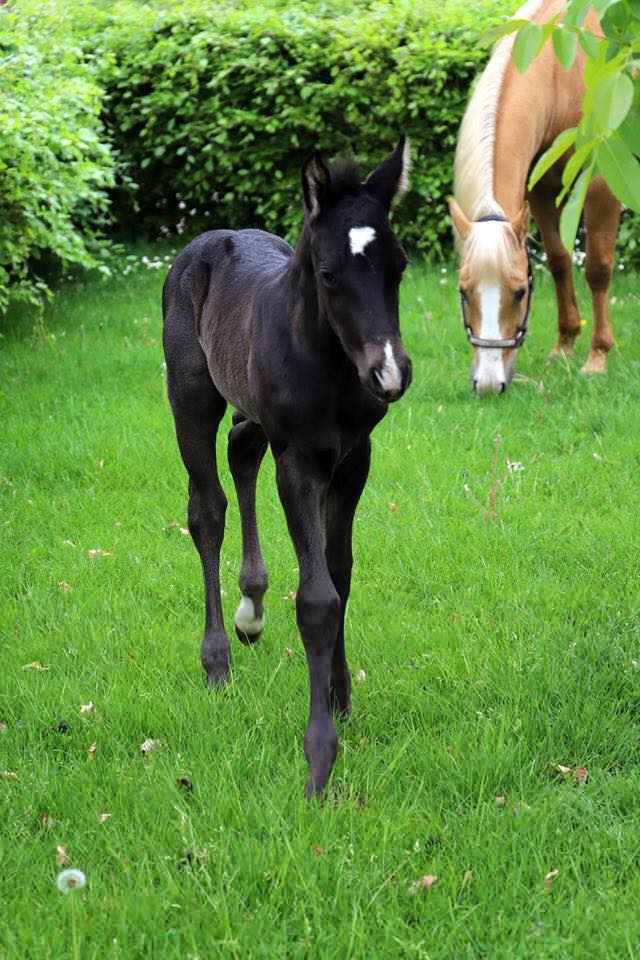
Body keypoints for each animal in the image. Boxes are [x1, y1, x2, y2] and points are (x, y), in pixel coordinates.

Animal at [162, 138, 412, 798]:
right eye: (328, 273)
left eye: (400, 266)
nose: (389, 373)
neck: (329, 365)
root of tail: (208, 239)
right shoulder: (297, 460)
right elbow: (318, 598)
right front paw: (319, 758)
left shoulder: (353, 460)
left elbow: (339, 573)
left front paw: (340, 697)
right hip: (190, 399)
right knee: (206, 510)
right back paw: (217, 660)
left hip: (253, 413)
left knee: (241, 452)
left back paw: (252, 609)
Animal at [450, 0, 621, 395]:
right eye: (464, 292)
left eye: (518, 293)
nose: (488, 384)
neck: (560, 74)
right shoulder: (541, 189)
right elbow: (558, 260)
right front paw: (564, 345)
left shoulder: (600, 186)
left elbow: (597, 268)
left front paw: (597, 357)